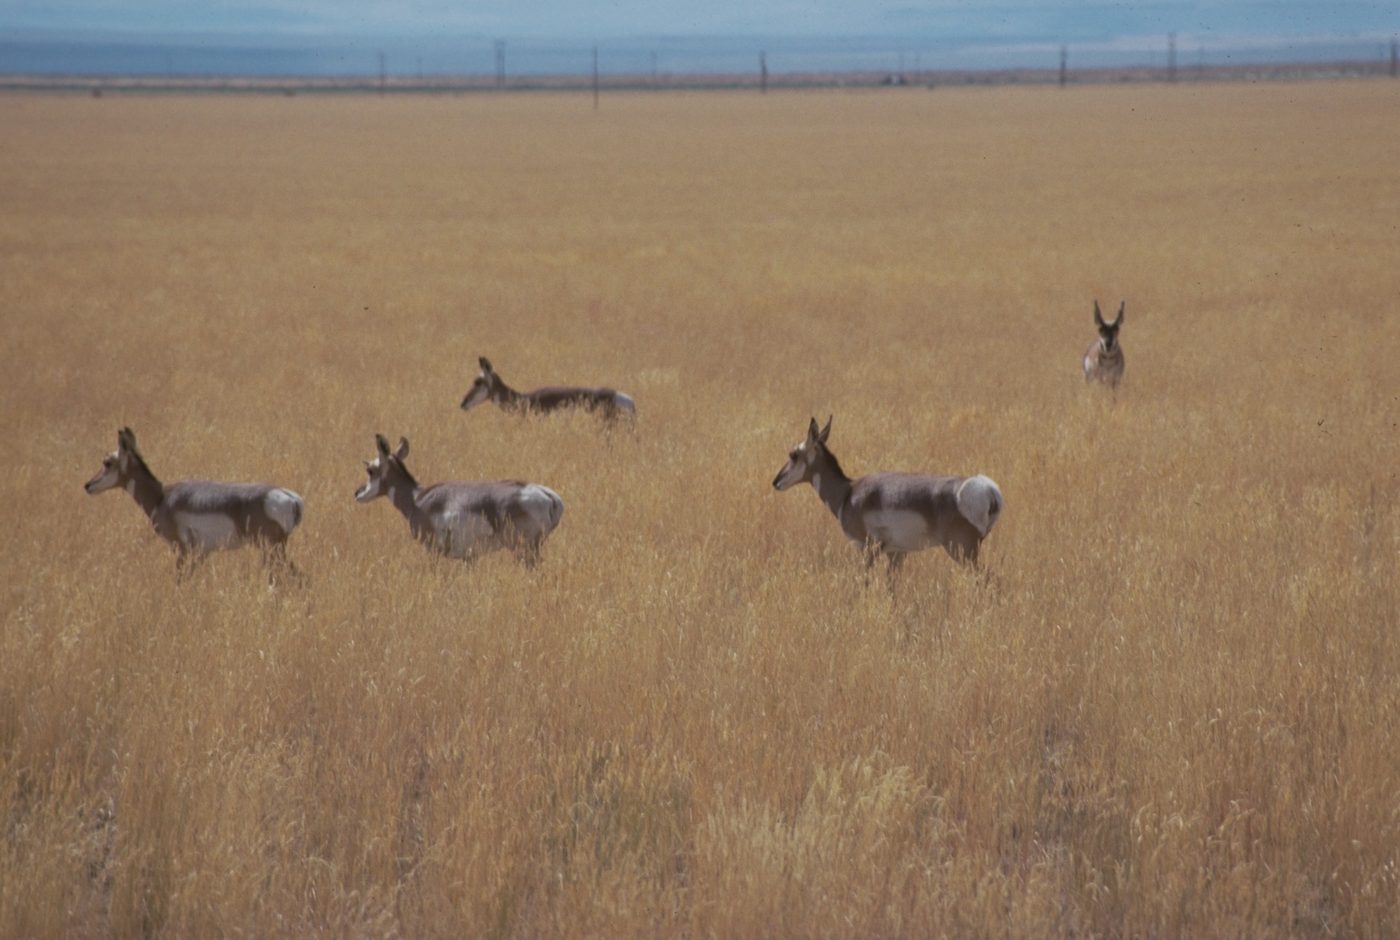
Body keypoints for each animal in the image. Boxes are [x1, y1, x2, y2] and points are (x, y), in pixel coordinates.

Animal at [84, 427, 304, 575]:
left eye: (107, 462)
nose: (87, 485)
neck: (161, 497)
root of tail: (289, 496)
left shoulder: (181, 550)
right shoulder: (201, 554)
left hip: (272, 549)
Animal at [354, 433, 563, 566]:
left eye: (370, 470)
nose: (357, 493)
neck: (418, 498)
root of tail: (547, 494)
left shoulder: (434, 551)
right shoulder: (469, 558)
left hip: (524, 550)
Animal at [771, 417, 1003, 573]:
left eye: (793, 454)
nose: (776, 482)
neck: (849, 492)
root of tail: (988, 488)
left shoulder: (867, 550)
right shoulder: (896, 554)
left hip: (962, 552)